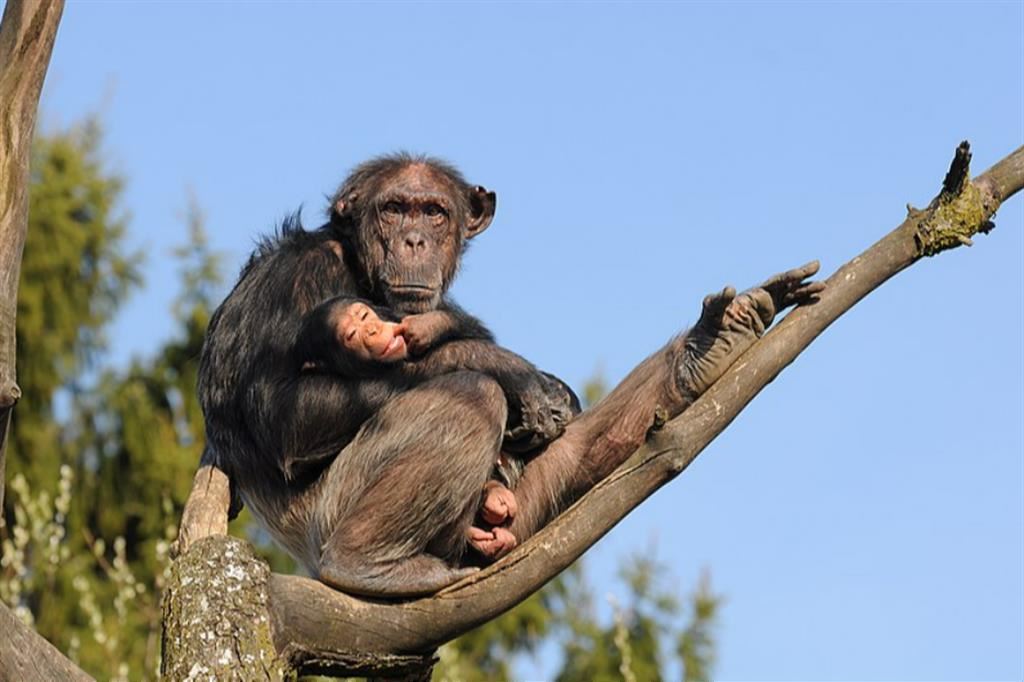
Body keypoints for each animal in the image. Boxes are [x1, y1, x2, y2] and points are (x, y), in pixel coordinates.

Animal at [197, 153, 823, 593]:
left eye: (433, 211)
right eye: (393, 209)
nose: (414, 239)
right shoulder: (298, 279)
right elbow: (281, 411)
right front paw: (513, 372)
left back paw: (706, 350)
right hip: (330, 514)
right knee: (471, 400)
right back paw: (368, 563)